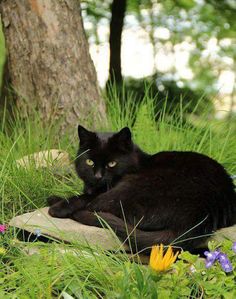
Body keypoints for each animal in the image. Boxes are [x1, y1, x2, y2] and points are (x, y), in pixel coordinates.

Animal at [48, 126, 236, 253]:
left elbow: (84, 197)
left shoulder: (102, 191)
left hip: (128, 188)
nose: (98, 176)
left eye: (112, 163)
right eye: (90, 162)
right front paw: (54, 197)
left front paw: (58, 206)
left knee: (96, 206)